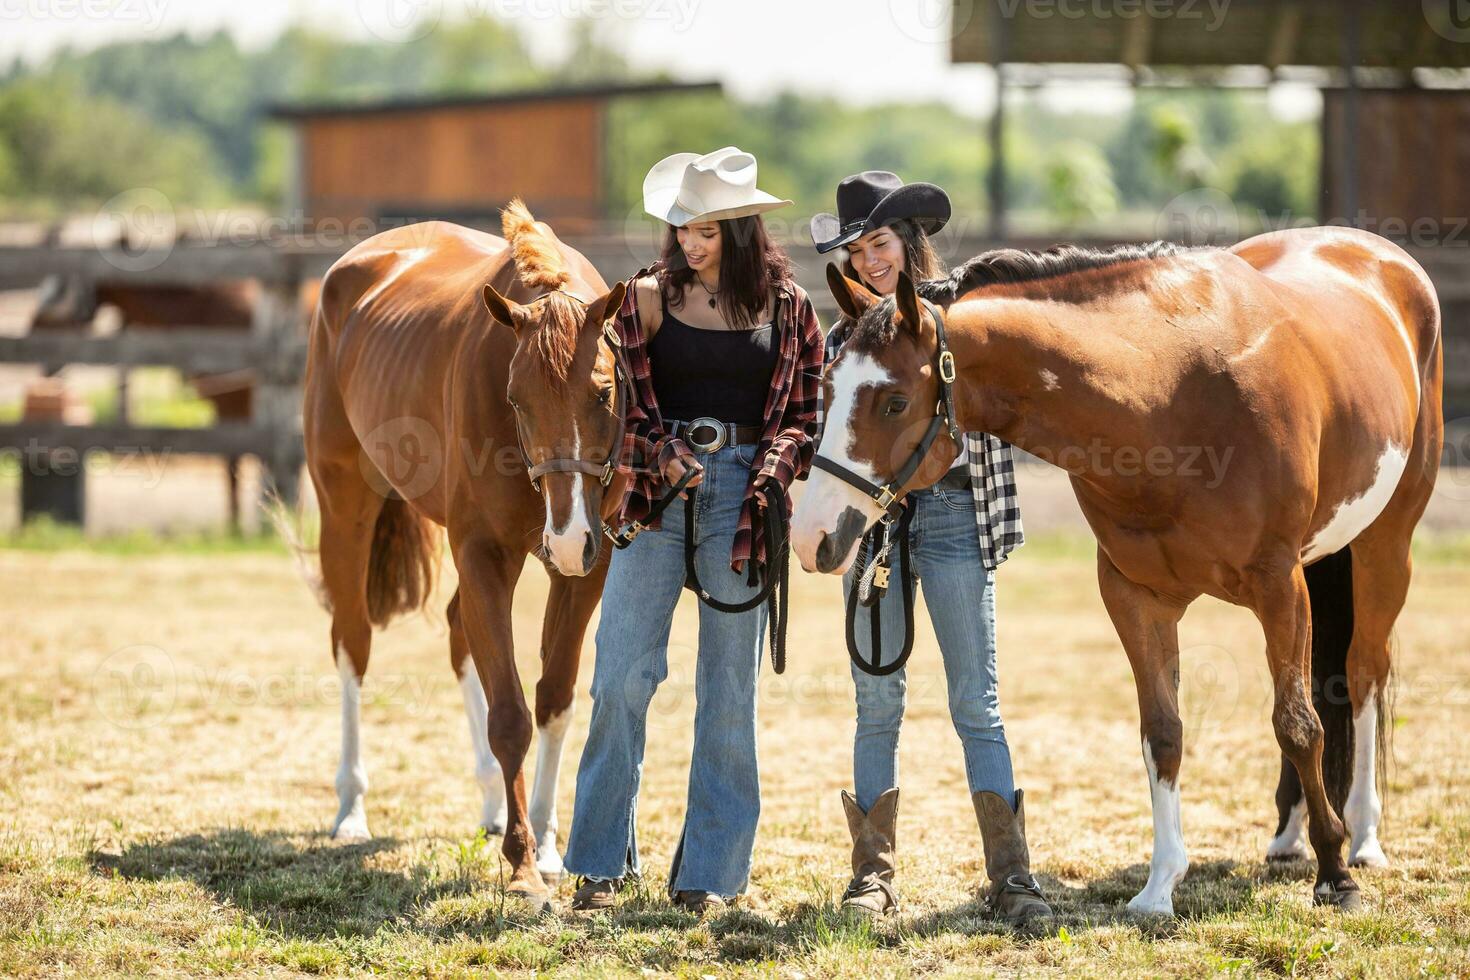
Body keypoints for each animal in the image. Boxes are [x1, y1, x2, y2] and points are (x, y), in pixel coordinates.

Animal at [301, 205, 629, 905]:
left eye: (604, 392)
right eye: (516, 400)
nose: (566, 537)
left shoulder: (587, 570)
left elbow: (553, 699)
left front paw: (548, 844)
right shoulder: (484, 555)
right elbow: (509, 715)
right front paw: (524, 864)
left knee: (457, 631)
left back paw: (493, 806)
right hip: (345, 508)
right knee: (352, 644)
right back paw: (351, 809)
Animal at [799, 226, 1440, 916]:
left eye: (894, 401)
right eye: (827, 390)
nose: (811, 537)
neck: (1171, 396)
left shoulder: (1279, 585)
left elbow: (1296, 724)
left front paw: (1336, 878)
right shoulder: (1135, 596)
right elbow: (1163, 733)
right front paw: (1159, 887)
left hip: (1384, 546)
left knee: (1362, 675)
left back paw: (1362, 840)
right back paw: (1291, 835)